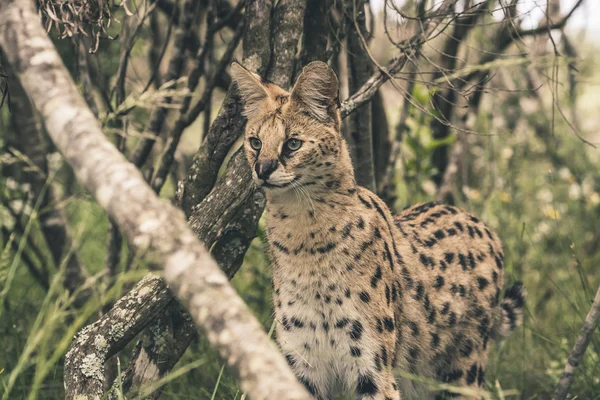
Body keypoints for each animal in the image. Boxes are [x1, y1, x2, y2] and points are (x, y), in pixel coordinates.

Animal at [230, 61, 524, 398]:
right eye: (255, 142)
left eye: (293, 143)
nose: (262, 170)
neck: (303, 236)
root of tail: (477, 221)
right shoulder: (302, 364)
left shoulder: (372, 367)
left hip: (464, 374)